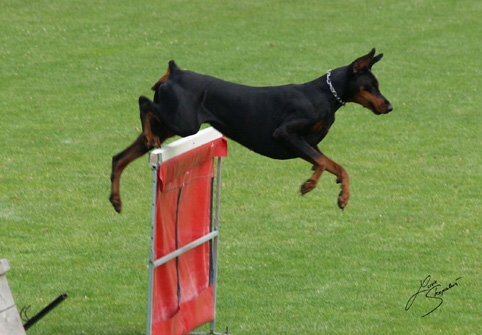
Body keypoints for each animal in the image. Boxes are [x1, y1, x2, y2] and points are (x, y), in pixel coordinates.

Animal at [111, 48, 394, 214]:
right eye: (371, 85)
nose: (390, 106)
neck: (325, 95)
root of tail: (175, 72)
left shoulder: (308, 144)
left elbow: (336, 166)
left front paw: (343, 196)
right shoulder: (286, 134)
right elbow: (323, 163)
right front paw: (309, 185)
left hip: (171, 125)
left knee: (119, 157)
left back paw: (116, 199)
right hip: (183, 123)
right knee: (143, 103)